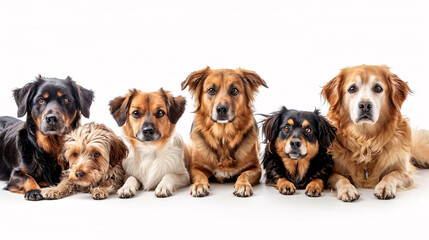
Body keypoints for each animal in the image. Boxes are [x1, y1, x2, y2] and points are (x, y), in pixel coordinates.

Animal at [320, 64, 428, 202]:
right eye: (352, 89)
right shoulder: (330, 172)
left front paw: (385, 187)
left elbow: (391, 175)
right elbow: (340, 178)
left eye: (378, 88)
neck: (365, 140)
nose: (365, 105)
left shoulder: (404, 173)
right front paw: (347, 189)